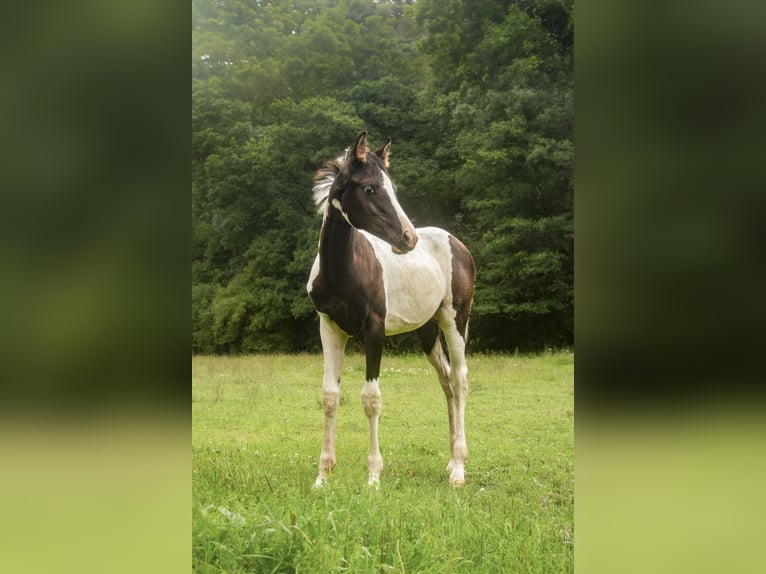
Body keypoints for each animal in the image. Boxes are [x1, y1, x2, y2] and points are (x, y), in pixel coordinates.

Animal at [306, 133, 474, 488]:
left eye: (392, 188)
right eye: (370, 188)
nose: (407, 238)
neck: (344, 269)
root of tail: (457, 243)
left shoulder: (374, 331)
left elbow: (371, 398)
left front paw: (373, 477)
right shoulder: (329, 328)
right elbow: (329, 396)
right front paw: (322, 477)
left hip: (455, 321)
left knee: (460, 379)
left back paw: (459, 469)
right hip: (428, 331)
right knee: (446, 381)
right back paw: (450, 462)